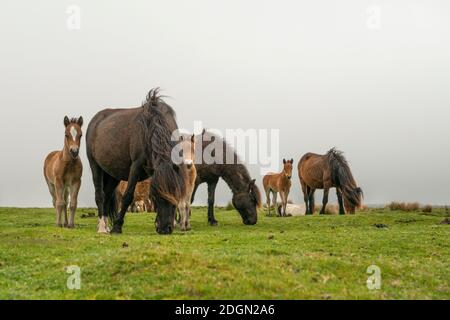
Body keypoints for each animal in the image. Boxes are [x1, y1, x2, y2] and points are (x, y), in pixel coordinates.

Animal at [85, 89, 185, 234]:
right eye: (155, 195)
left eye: (175, 193)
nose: (165, 229)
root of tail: (95, 120)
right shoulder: (136, 167)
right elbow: (128, 196)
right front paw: (117, 226)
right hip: (95, 166)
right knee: (100, 195)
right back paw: (102, 227)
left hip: (113, 174)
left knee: (107, 195)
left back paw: (106, 225)